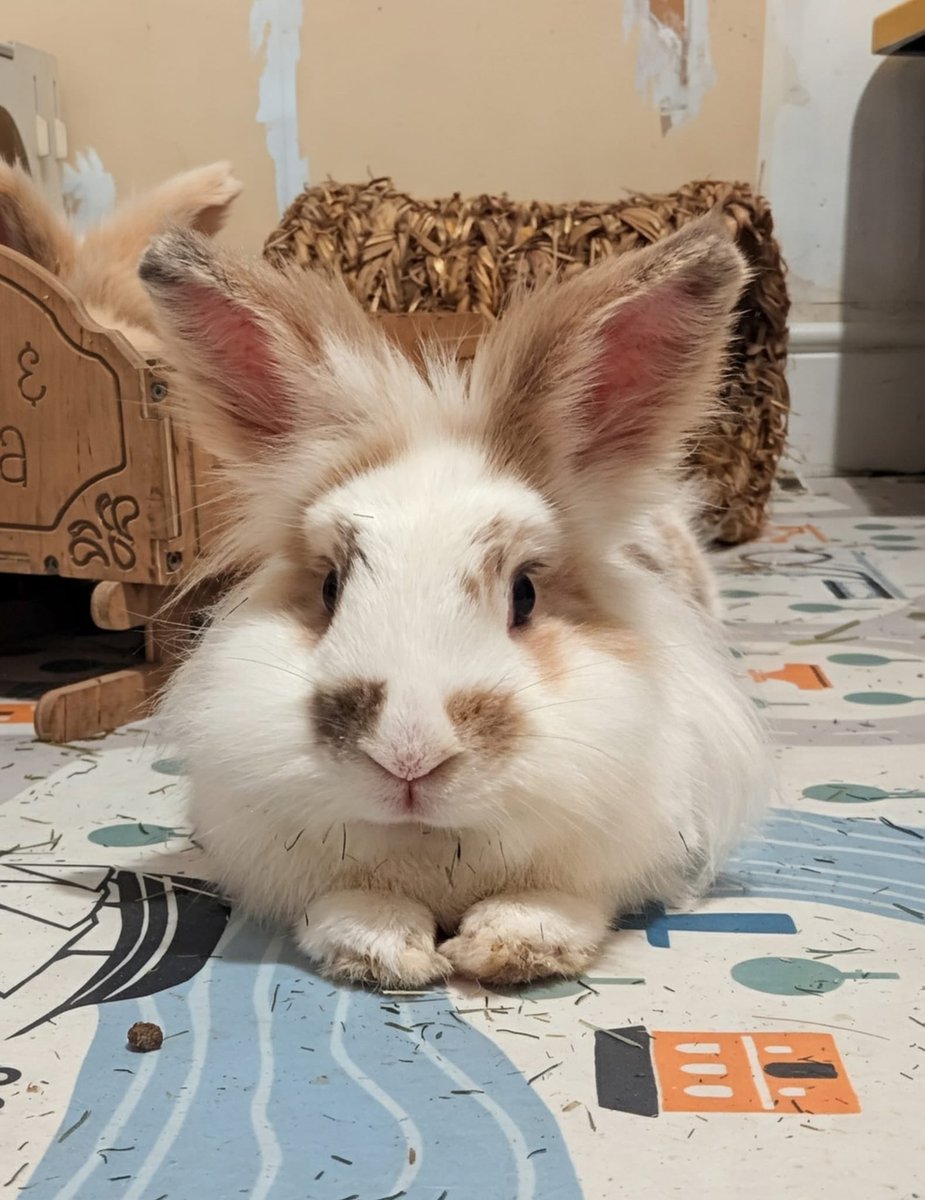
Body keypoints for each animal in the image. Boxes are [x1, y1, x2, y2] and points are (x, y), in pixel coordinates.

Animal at [138, 213, 770, 989]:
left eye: (525, 593)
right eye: (329, 586)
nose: (407, 758)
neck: (435, 846)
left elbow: (557, 899)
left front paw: (514, 945)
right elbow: (352, 901)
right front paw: (383, 950)